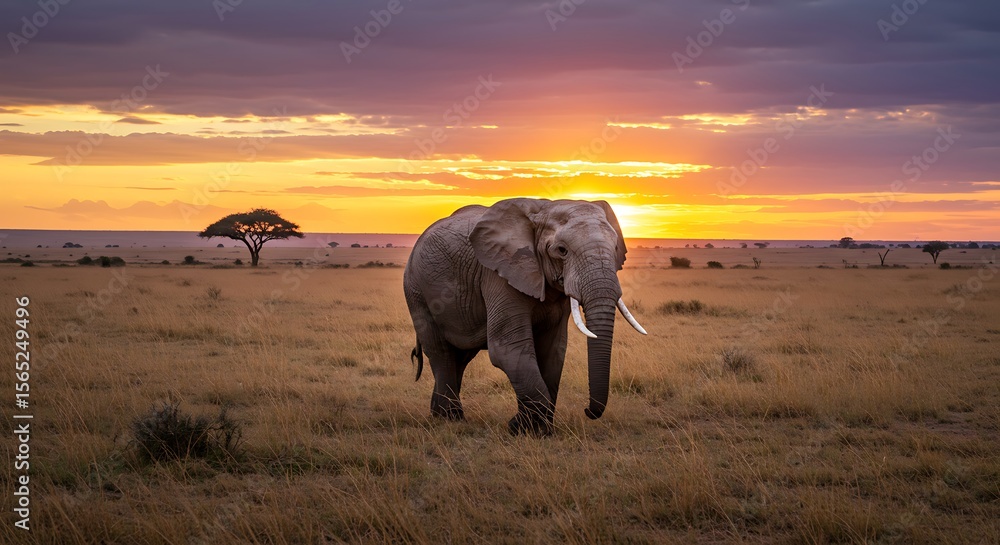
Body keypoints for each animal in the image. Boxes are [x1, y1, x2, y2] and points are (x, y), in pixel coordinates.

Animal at [403, 198, 646, 435]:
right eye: (562, 250)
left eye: (616, 248)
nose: (587, 410)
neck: (544, 209)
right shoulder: (498, 274)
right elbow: (508, 348)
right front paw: (520, 428)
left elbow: (553, 350)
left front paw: (541, 430)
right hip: (416, 290)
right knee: (440, 351)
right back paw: (451, 418)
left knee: (460, 356)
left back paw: (440, 415)